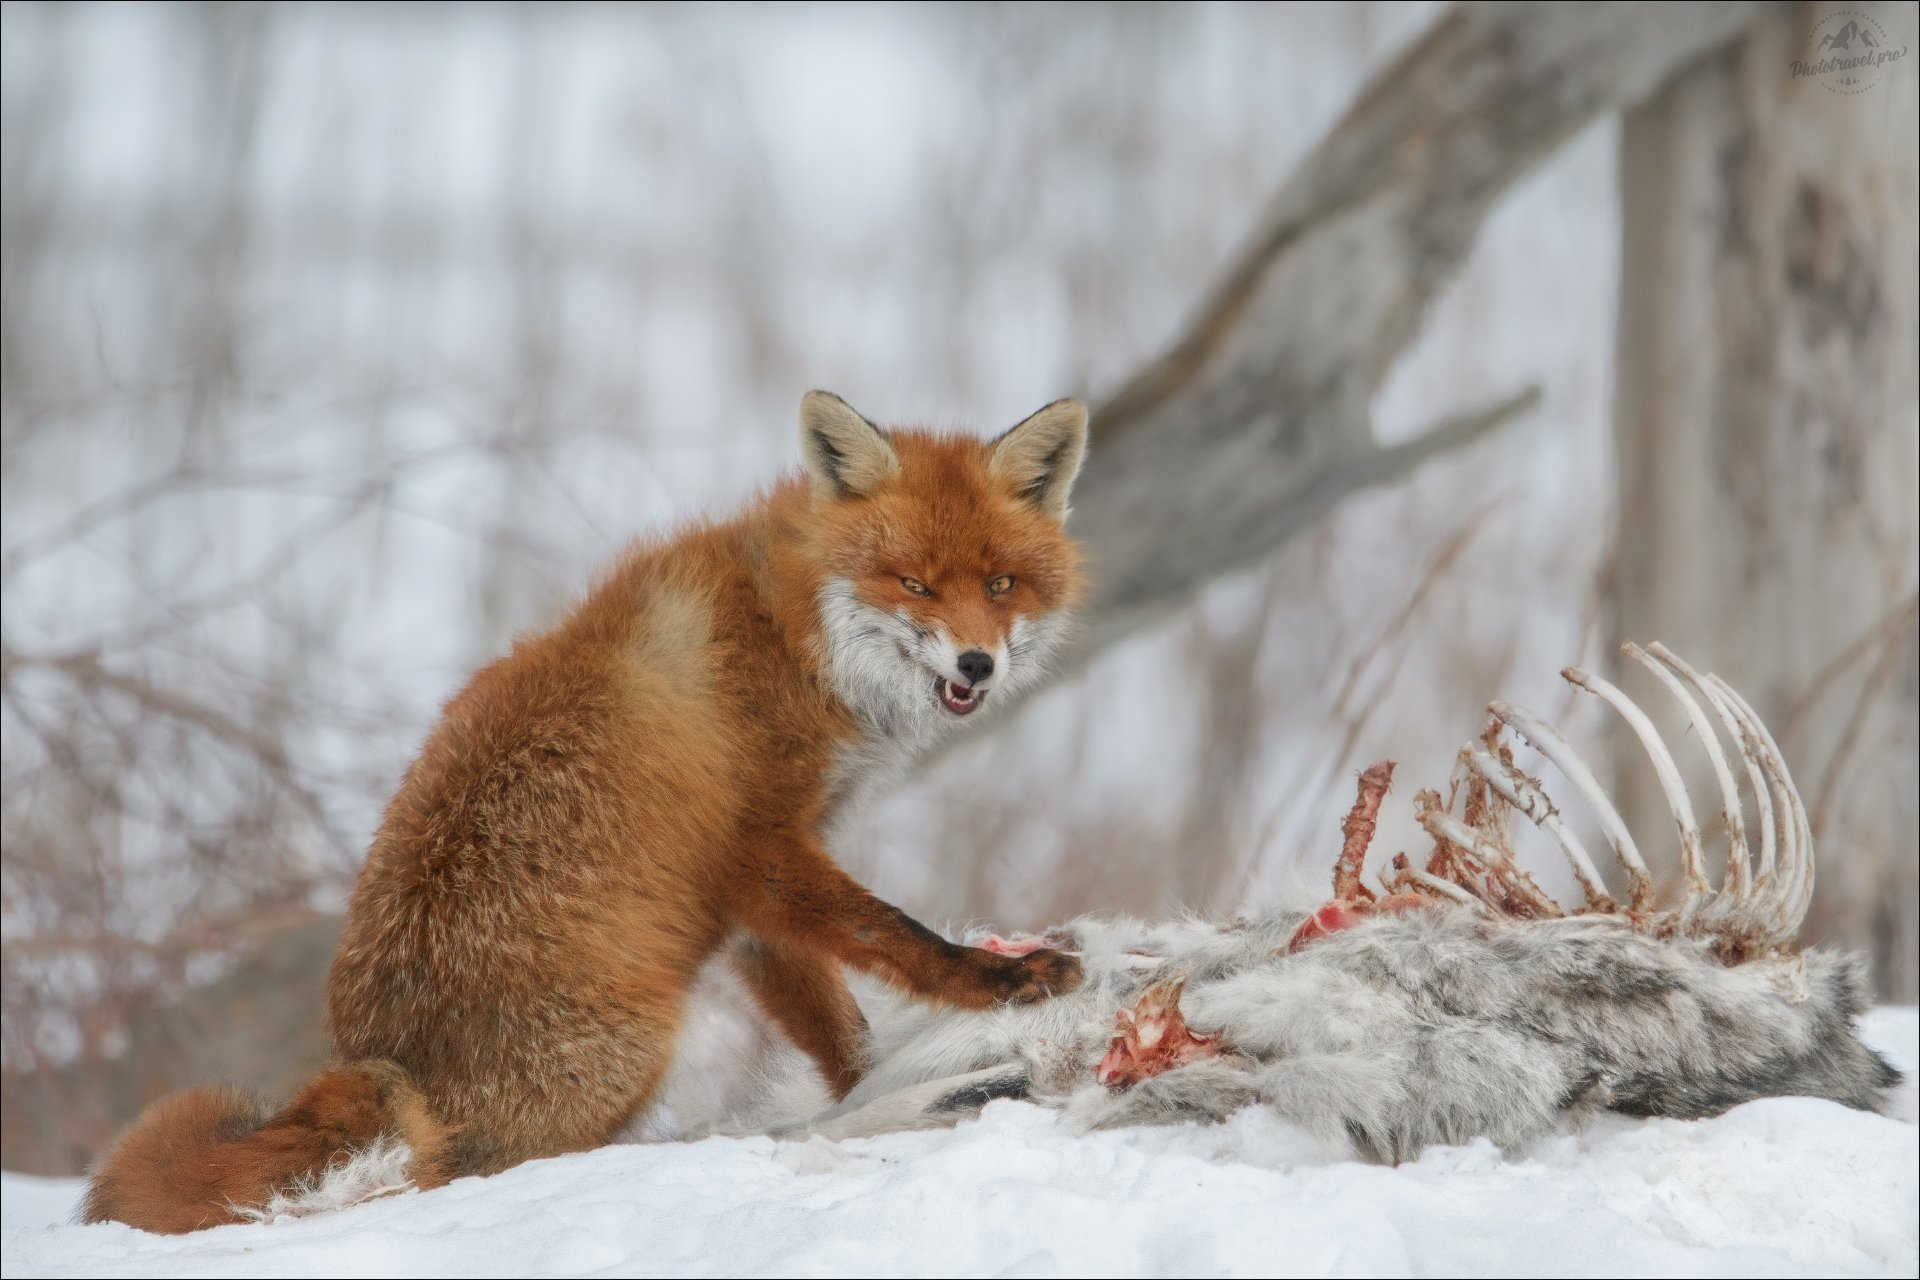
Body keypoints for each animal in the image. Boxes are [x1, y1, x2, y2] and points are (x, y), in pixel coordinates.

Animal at [86, 391, 1098, 1228]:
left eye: (1001, 585)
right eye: (913, 584)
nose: (976, 664)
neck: (794, 633)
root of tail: (380, 1058)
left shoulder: (748, 906)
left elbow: (843, 1035)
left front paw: (898, 1075)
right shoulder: (762, 854)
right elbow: (896, 935)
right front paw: (1002, 985)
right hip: (639, 1042)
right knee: (493, 1172)